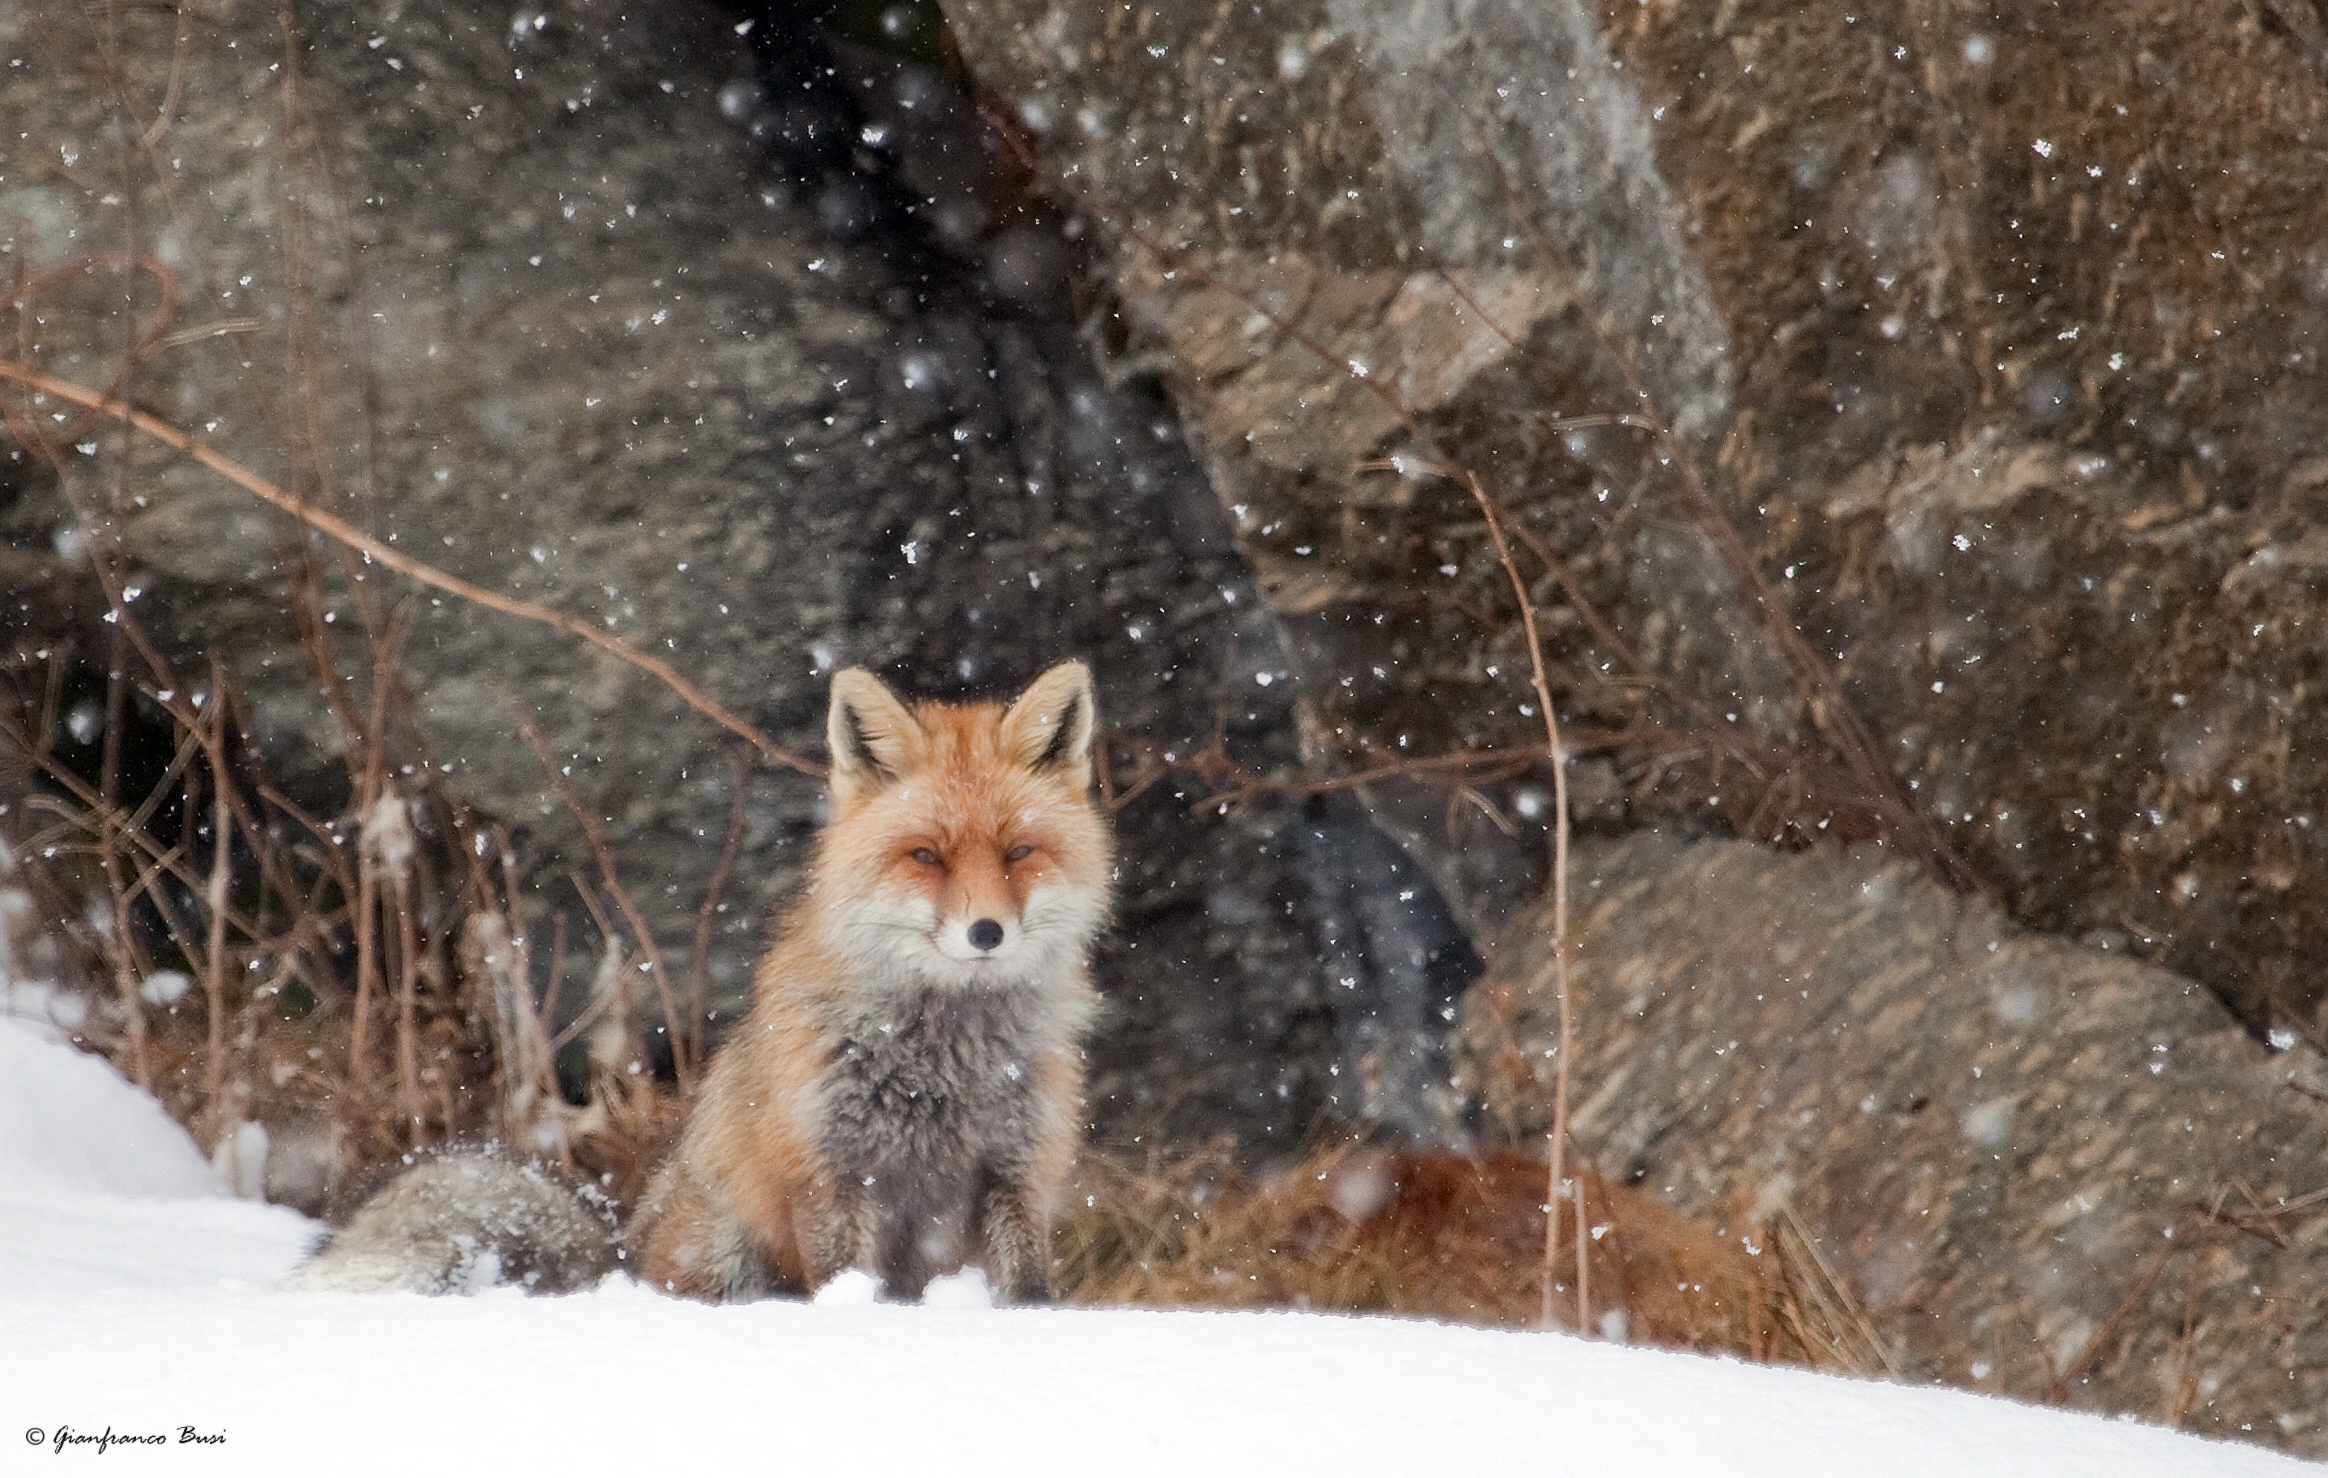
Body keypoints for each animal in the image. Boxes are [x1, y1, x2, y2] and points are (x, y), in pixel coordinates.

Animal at [625, 659, 1112, 1305]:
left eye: (1019, 851)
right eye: (926, 856)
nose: (986, 932)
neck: (946, 1064)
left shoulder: (1019, 1168)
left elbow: (1028, 1285)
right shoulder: (827, 1169)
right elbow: (843, 1280)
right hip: (724, 1251)